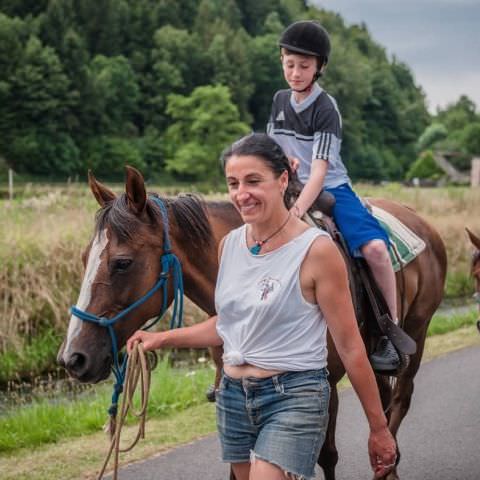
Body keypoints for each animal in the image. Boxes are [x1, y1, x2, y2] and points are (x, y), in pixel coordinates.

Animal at [58, 168, 448, 480]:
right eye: (84, 258)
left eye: (122, 263)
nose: (71, 358)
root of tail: (421, 220)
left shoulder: (323, 385)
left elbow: (326, 456)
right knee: (382, 399)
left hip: (415, 332)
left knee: (399, 400)